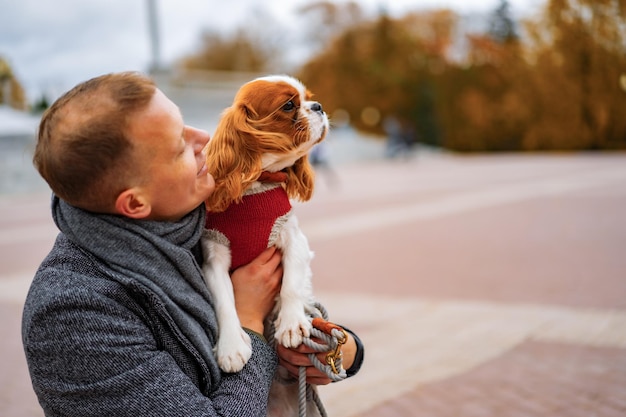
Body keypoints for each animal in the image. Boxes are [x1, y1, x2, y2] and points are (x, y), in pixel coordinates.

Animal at [200, 75, 330, 412]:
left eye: (308, 98)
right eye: (289, 105)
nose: (319, 106)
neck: (255, 184)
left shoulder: (293, 238)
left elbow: (292, 285)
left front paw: (291, 323)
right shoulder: (213, 256)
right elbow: (224, 300)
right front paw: (231, 347)